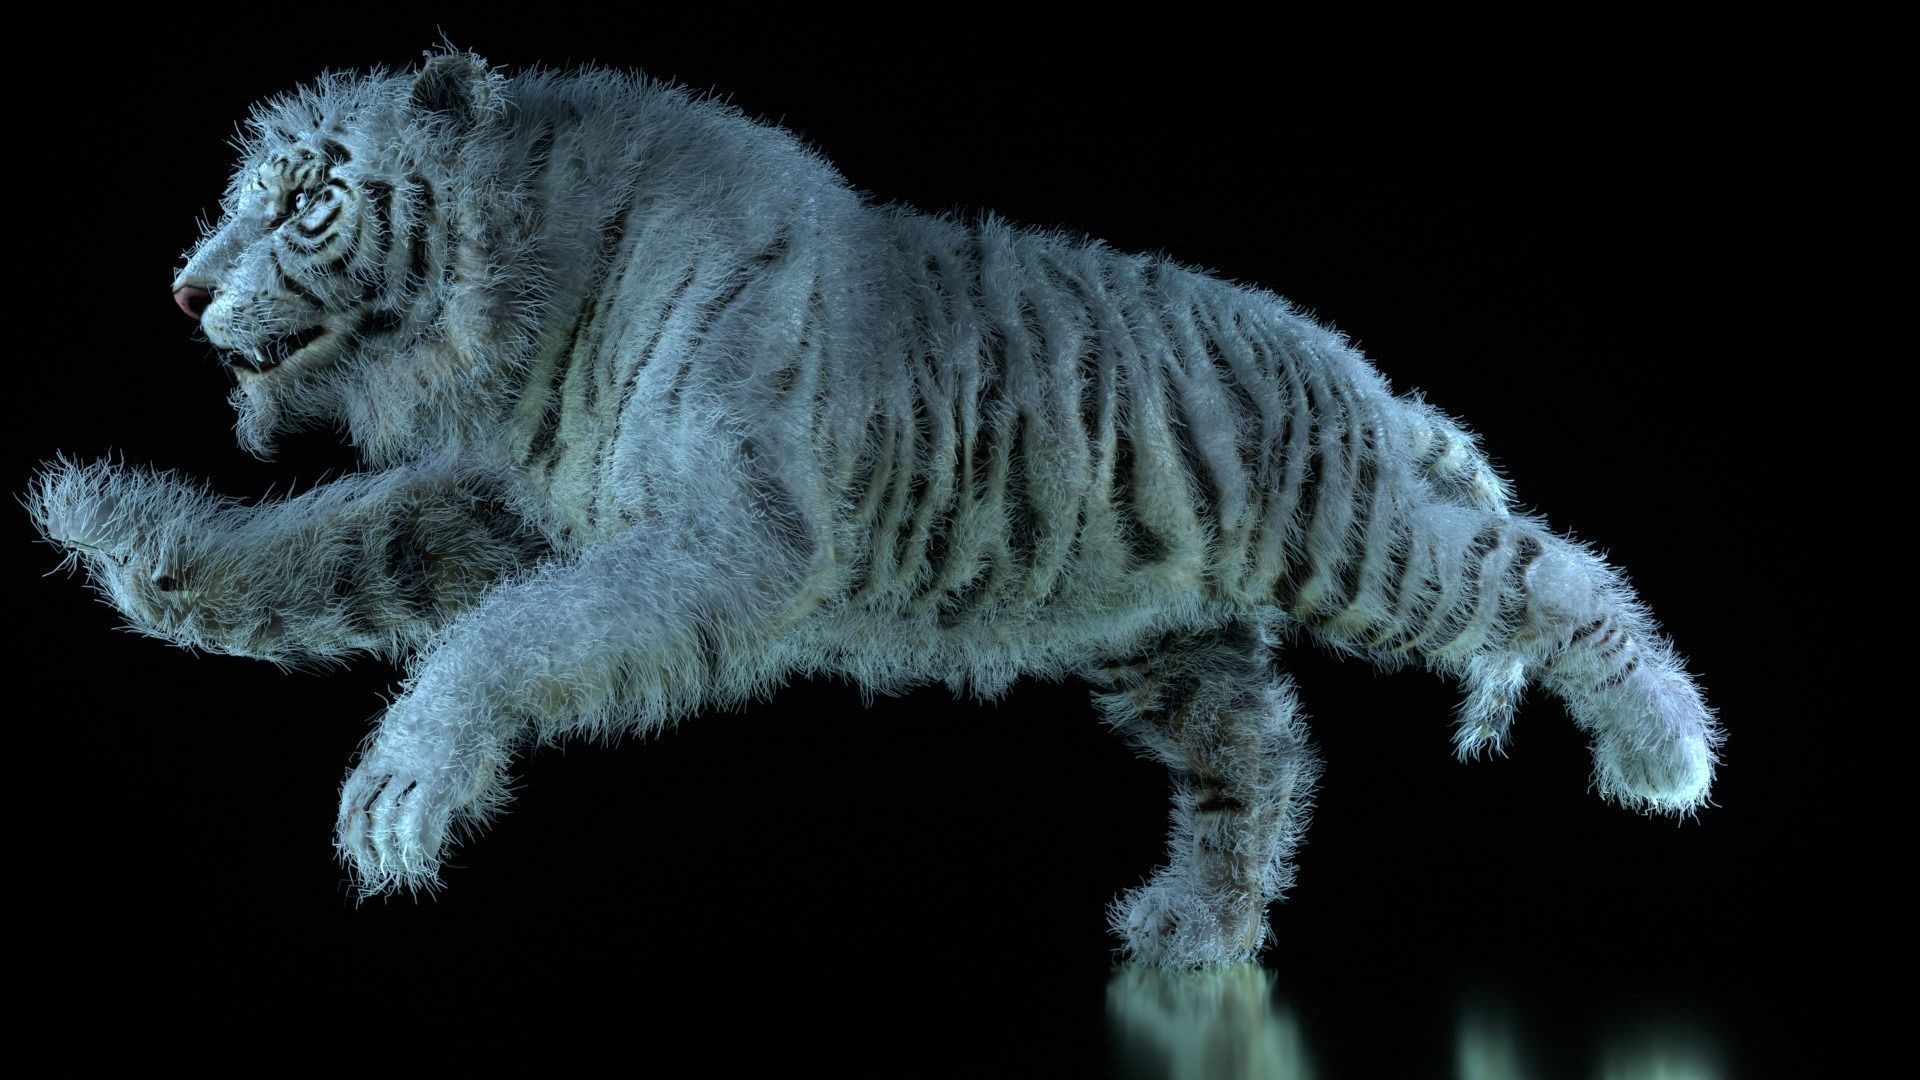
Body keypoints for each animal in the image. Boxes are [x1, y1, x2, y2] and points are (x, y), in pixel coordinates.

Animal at [25, 50, 1722, 968]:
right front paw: (125, 533)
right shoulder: (516, 509)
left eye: (307, 201)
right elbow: (334, 548)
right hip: (1162, 640)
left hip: (1357, 539)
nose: (183, 289)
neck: (522, 307)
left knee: (1552, 576)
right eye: (232, 199)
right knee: (1262, 758)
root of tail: (1362, 374)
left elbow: (500, 641)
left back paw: (1664, 754)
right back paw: (1197, 933)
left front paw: (401, 790)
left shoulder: (725, 541)